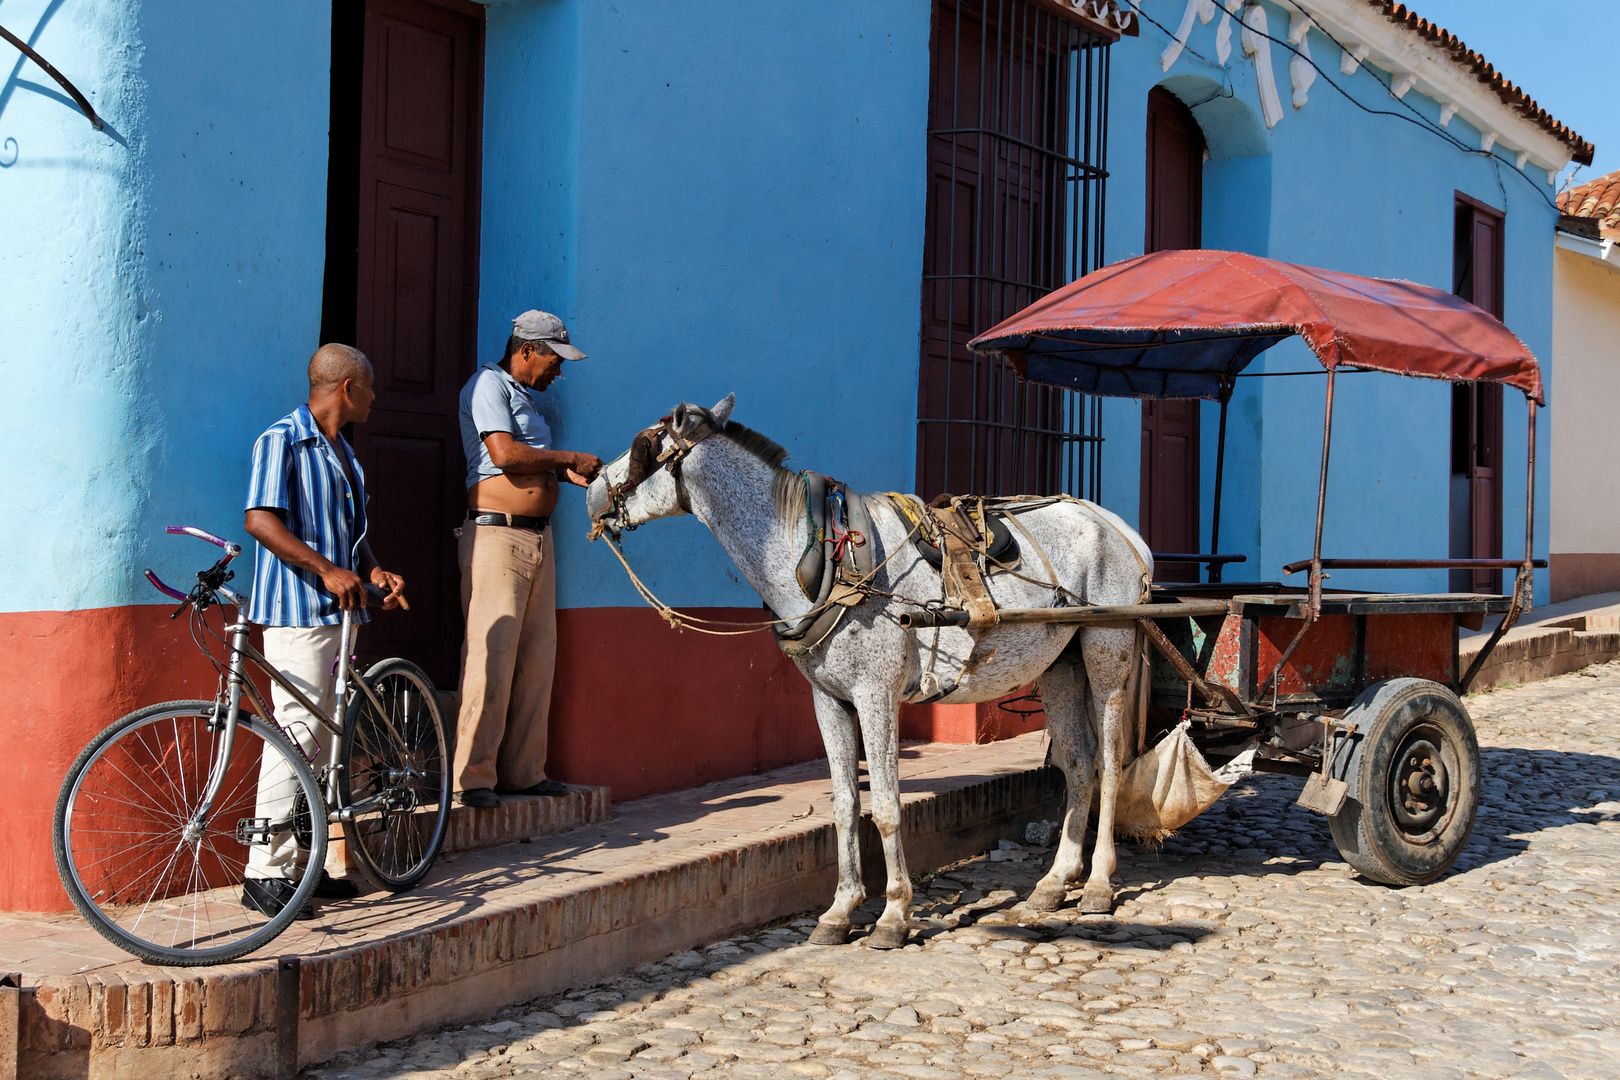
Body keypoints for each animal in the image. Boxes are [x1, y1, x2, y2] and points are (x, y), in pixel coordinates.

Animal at [586, 396, 1153, 945]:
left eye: (645, 445)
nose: (590, 488)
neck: (826, 560)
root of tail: (1119, 526)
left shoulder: (876, 695)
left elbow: (884, 806)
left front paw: (894, 914)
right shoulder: (830, 699)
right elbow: (843, 806)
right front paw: (840, 910)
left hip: (1106, 651)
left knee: (1108, 761)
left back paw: (1098, 884)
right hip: (1060, 663)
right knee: (1078, 762)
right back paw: (1053, 883)